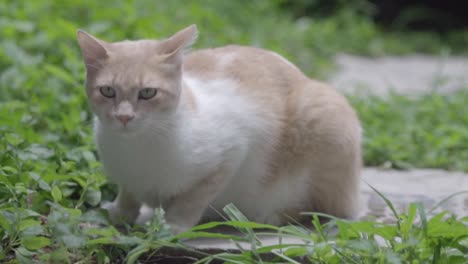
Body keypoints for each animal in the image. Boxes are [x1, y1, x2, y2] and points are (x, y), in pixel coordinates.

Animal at [77, 23, 362, 233]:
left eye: (148, 93)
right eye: (107, 91)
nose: (124, 117)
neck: (136, 149)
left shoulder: (231, 153)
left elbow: (192, 200)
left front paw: (173, 226)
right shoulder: (127, 179)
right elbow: (129, 194)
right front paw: (119, 214)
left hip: (324, 117)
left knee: (324, 210)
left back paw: (270, 216)